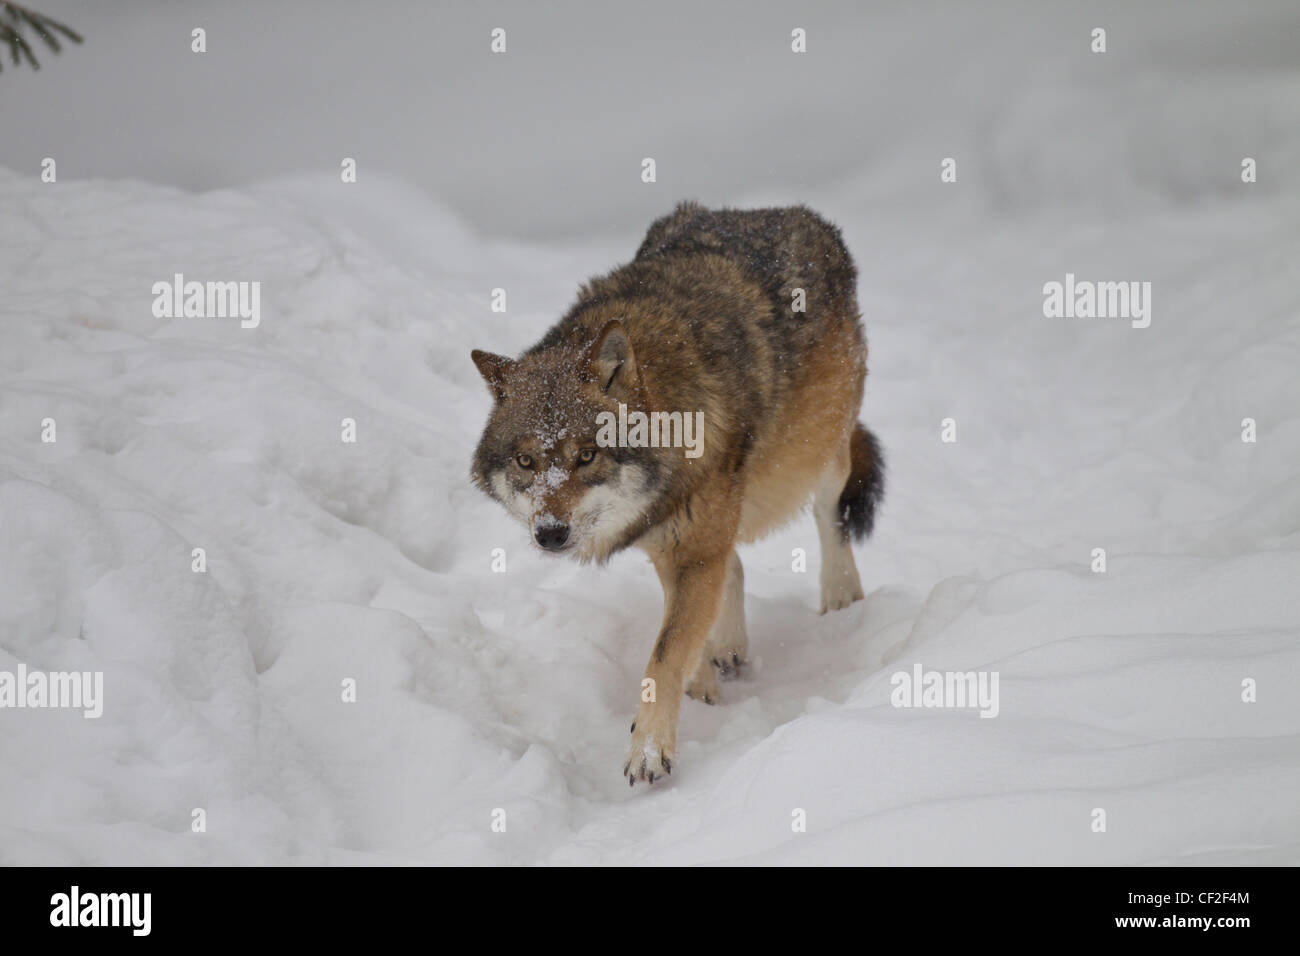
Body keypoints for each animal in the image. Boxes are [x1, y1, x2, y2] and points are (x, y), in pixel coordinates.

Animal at [467, 200, 883, 785]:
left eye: (587, 455)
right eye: (527, 462)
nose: (550, 534)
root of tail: (780, 211)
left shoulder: (691, 543)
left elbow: (664, 656)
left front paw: (649, 749)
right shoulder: (668, 542)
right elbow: (682, 635)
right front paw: (701, 684)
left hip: (820, 450)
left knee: (831, 515)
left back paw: (842, 599)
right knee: (734, 564)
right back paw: (727, 650)